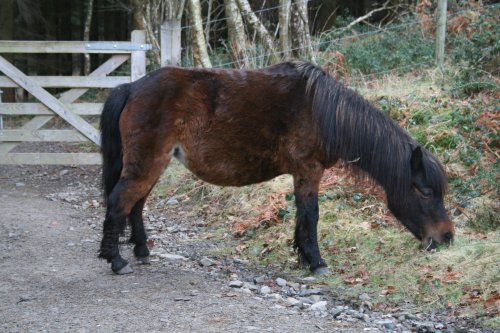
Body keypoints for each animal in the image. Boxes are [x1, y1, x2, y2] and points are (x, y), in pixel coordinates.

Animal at [97, 61, 454, 274]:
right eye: (424, 191)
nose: (447, 237)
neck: (323, 112)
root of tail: (131, 87)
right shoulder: (309, 170)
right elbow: (311, 215)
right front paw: (316, 262)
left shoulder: (301, 173)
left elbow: (300, 215)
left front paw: (303, 257)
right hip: (146, 164)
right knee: (119, 203)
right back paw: (116, 260)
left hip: (151, 165)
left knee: (135, 206)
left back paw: (142, 250)